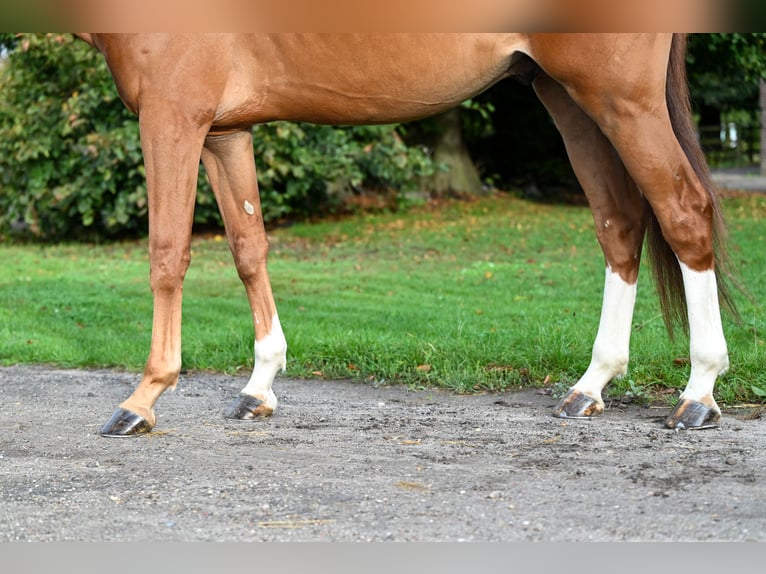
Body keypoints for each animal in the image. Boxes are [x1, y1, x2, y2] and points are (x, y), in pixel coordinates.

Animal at [75, 35, 736, 436]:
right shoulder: (224, 131)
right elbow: (247, 248)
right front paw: (260, 386)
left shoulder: (173, 115)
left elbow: (167, 253)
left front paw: (142, 399)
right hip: (569, 98)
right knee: (619, 224)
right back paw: (590, 385)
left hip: (623, 99)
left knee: (683, 212)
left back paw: (699, 393)